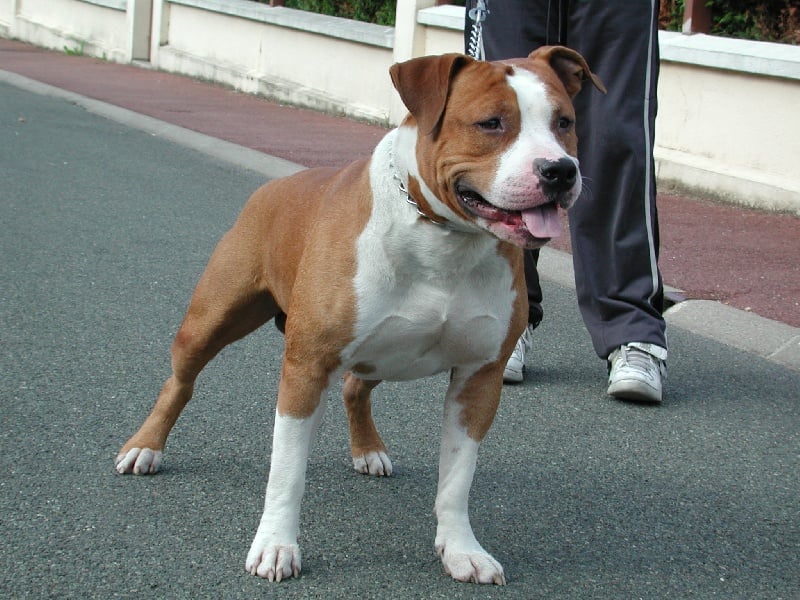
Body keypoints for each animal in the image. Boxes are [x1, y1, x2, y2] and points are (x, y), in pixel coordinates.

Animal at [115, 46, 604, 585]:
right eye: (491, 123)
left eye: (565, 122)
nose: (559, 170)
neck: (443, 237)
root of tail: (275, 186)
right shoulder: (305, 368)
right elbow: (286, 473)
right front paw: (275, 546)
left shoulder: (479, 378)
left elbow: (457, 479)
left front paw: (462, 550)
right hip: (210, 321)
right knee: (180, 382)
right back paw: (145, 447)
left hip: (382, 353)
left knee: (355, 389)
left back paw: (368, 449)